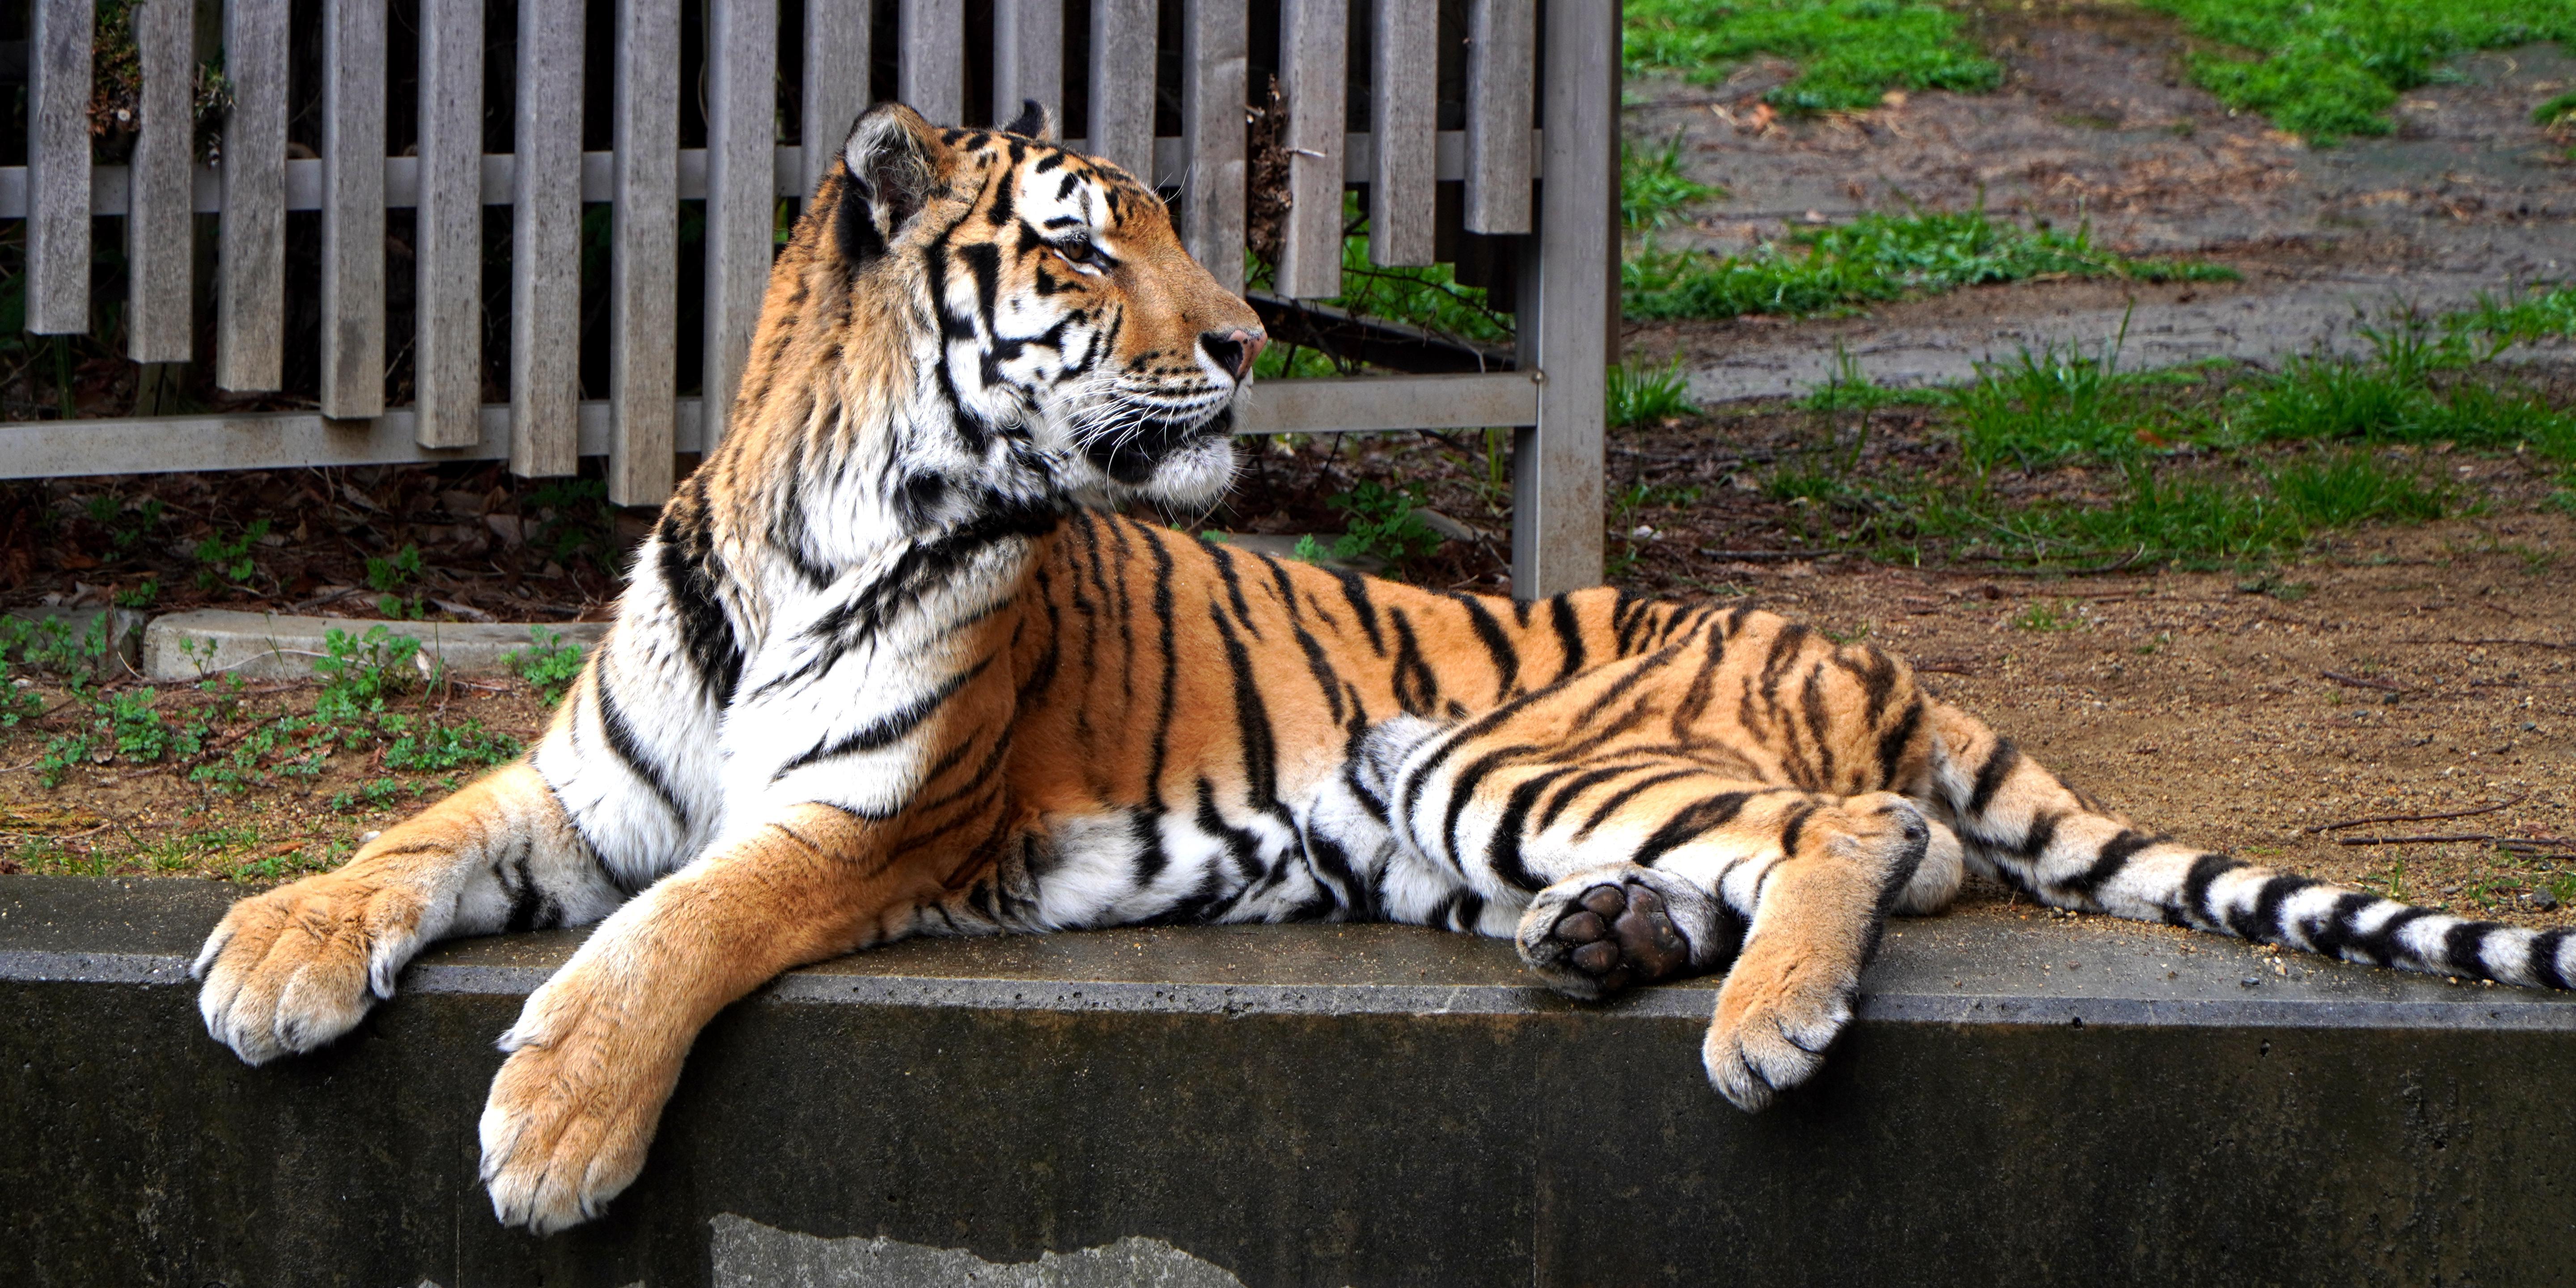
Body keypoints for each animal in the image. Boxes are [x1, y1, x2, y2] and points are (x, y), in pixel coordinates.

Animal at [189, 101, 2576, 1236]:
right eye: (1088, 244)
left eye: (1166, 227)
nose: (1252, 340)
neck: (815, 515)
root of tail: (1860, 639)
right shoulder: (582, 785)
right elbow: (413, 831)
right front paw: (274, 952)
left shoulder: (868, 820)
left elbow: (674, 934)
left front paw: (553, 1128)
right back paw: (1604, 949)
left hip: (1497, 757)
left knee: (1868, 827)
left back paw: (1764, 1020)